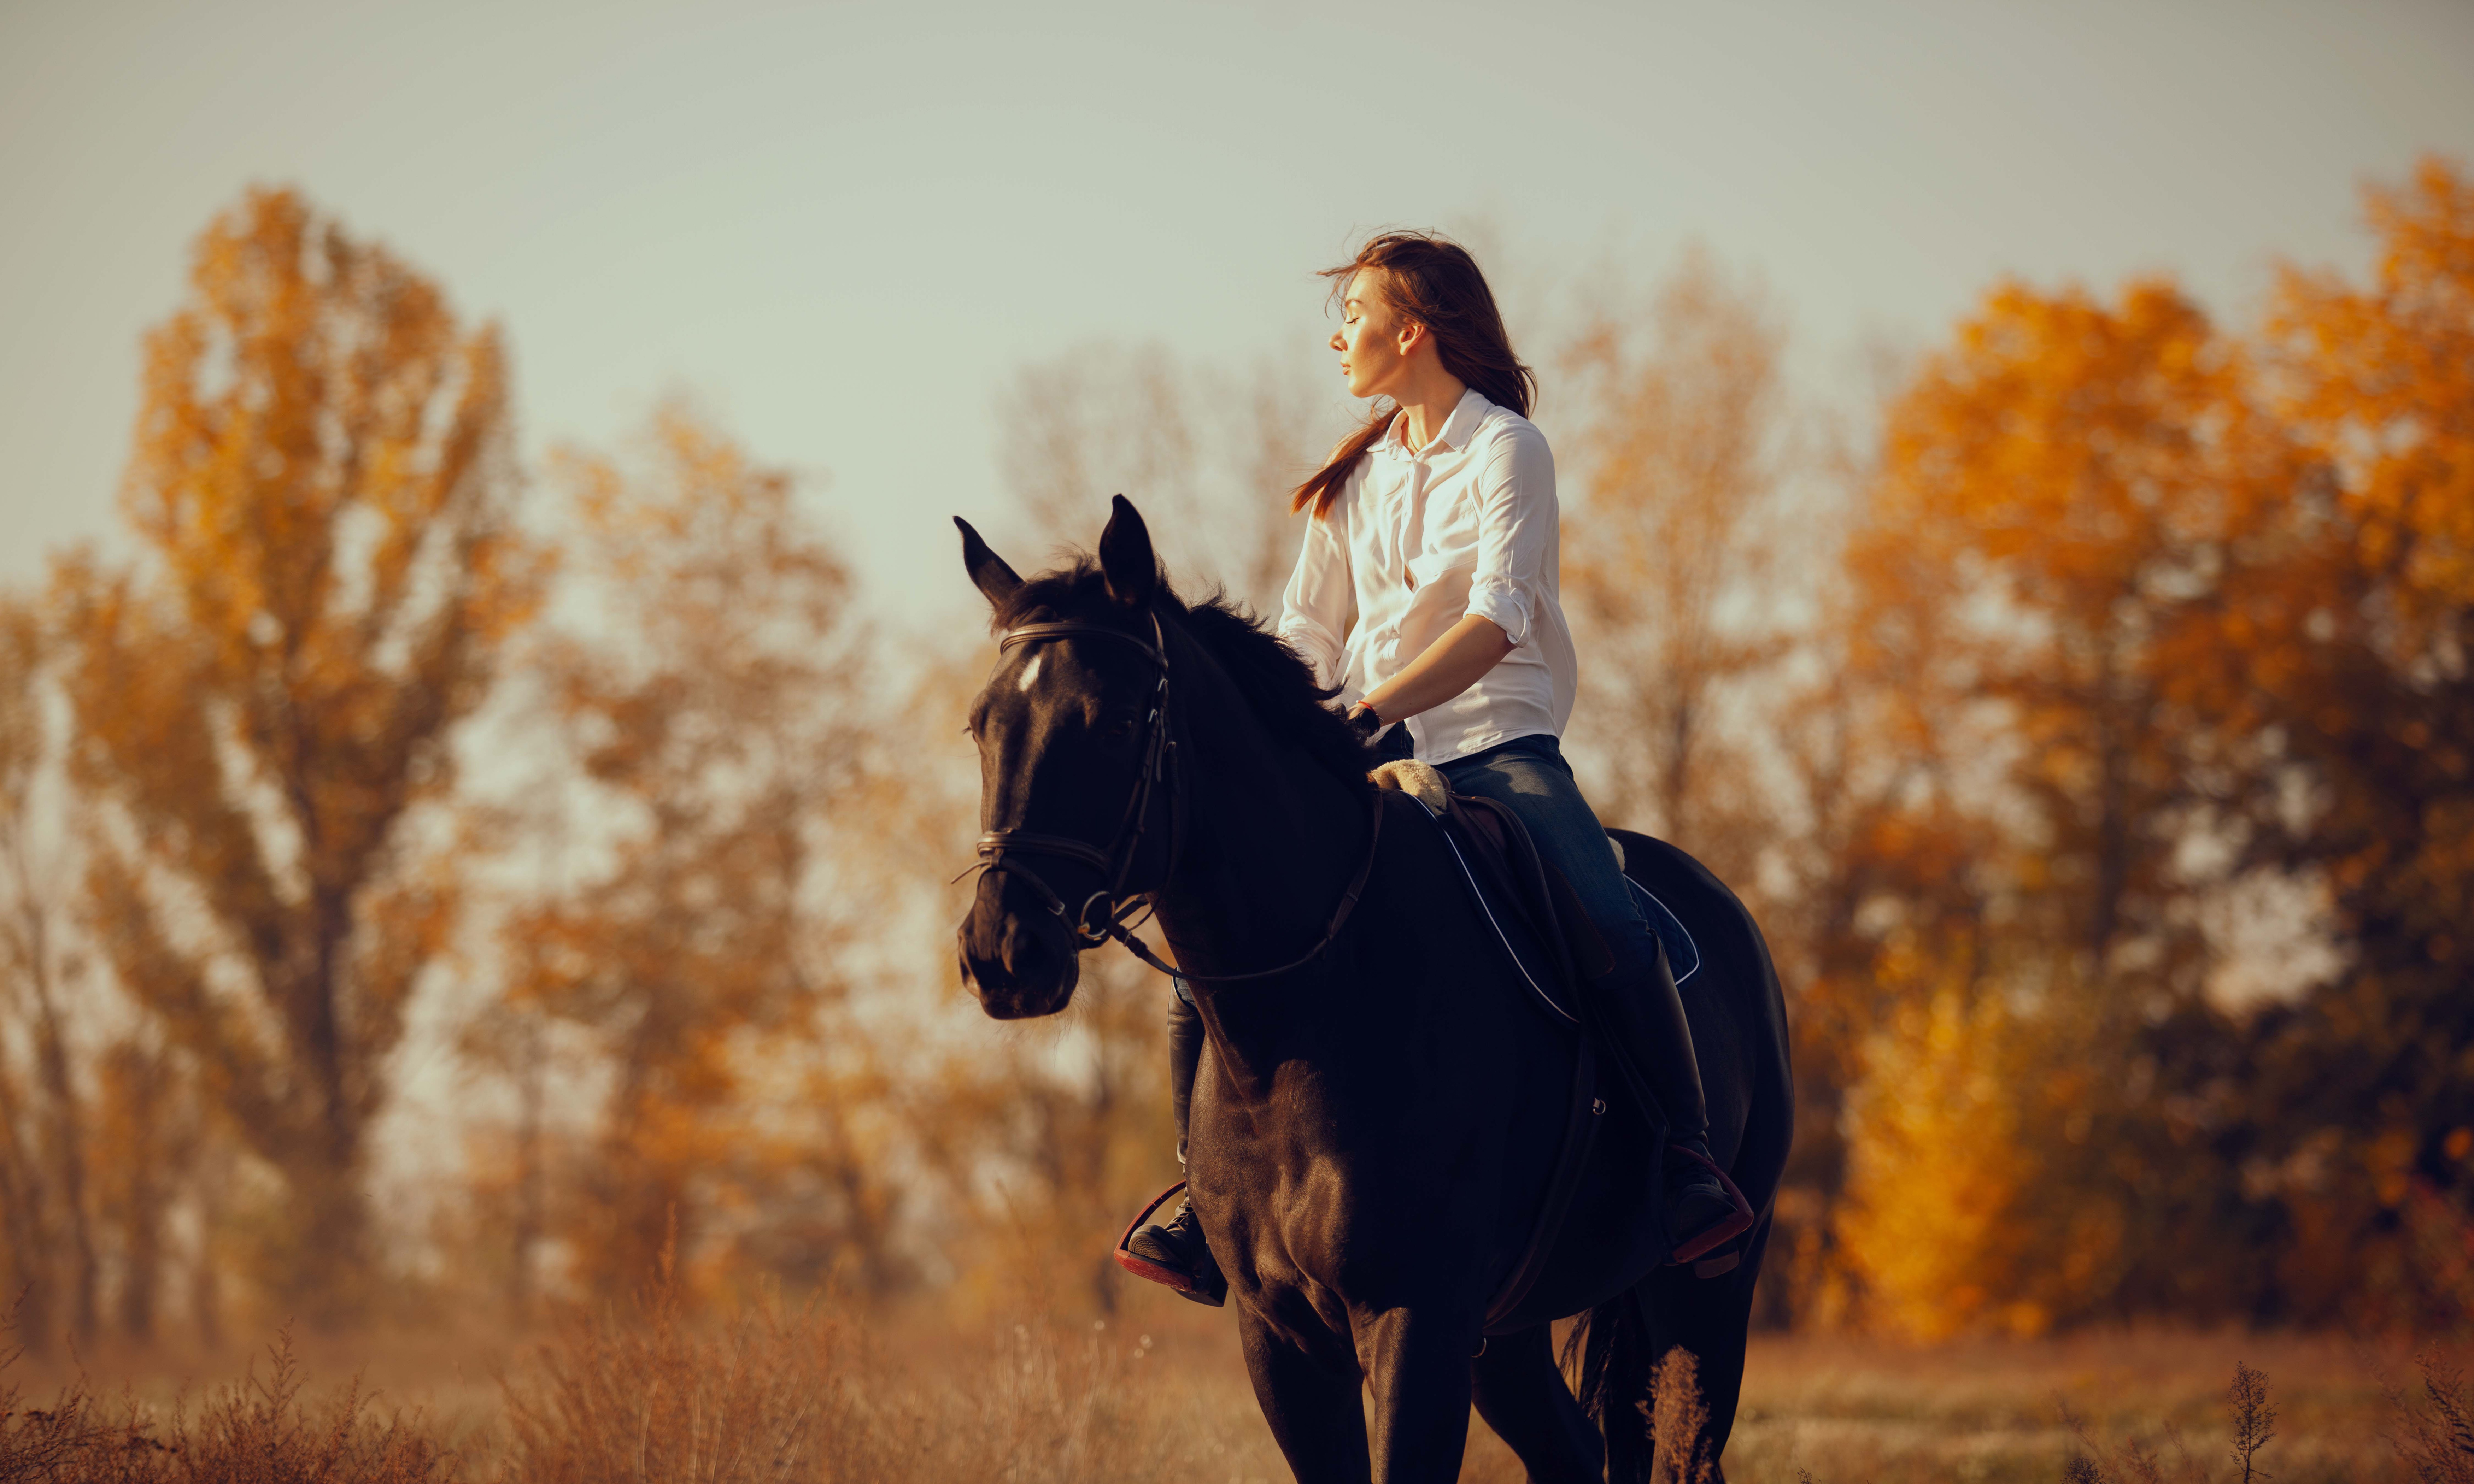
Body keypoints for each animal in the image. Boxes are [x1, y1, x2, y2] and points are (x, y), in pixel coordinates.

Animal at [955, 502, 1791, 1484]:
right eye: (982, 726)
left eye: (1119, 721)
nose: (1003, 952)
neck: (1303, 1021)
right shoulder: (1282, 1336)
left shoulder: (1413, 1319)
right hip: (1508, 1338)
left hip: (1703, 1294)